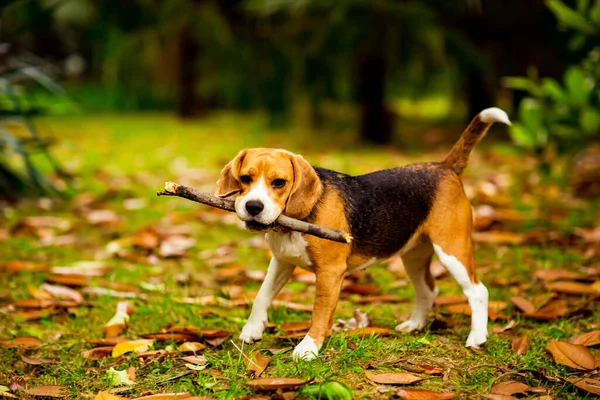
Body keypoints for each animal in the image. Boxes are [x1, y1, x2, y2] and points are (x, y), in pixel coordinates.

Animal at [216, 106, 510, 360]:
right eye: (245, 179)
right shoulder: (282, 261)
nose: (253, 207)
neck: (293, 221)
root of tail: (445, 166)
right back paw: (414, 325)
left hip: (452, 251)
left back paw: (477, 337)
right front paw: (252, 330)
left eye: (279, 183)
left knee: (478, 291)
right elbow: (261, 296)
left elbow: (319, 312)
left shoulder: (331, 273)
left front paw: (308, 348)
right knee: (428, 290)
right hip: (413, 256)